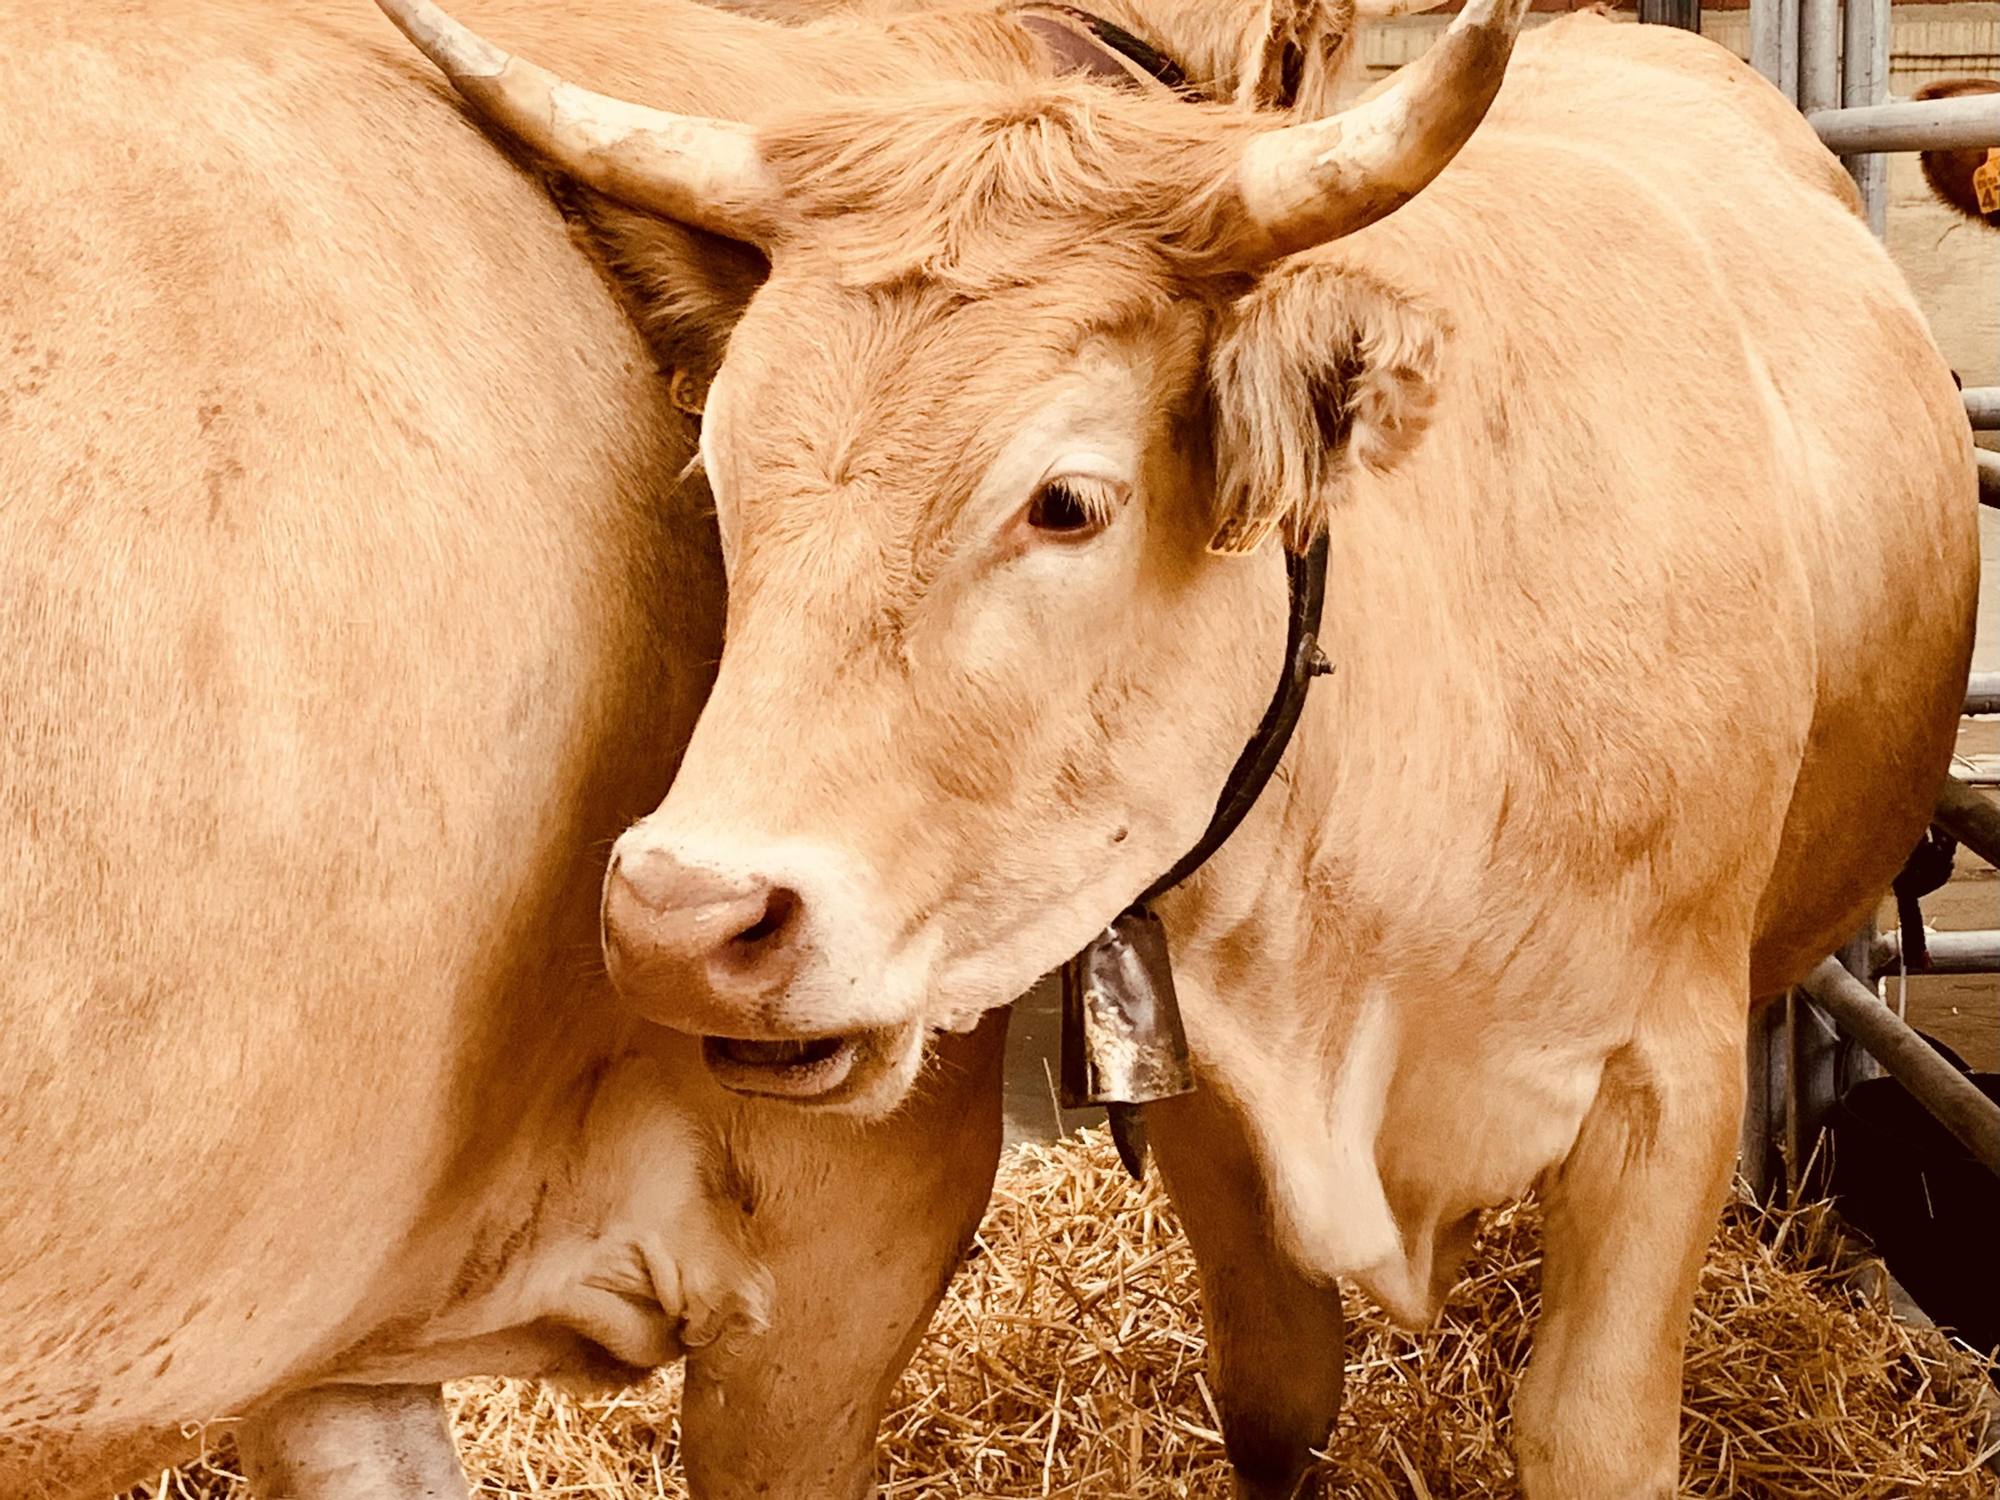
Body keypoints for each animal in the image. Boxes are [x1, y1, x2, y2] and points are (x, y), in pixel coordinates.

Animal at [375, 1, 1982, 1496]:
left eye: (1066, 501)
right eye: (716, 475)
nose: (680, 920)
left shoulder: (1670, 1082)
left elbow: (1588, 1433)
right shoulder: (1216, 1095)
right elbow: (1276, 1391)